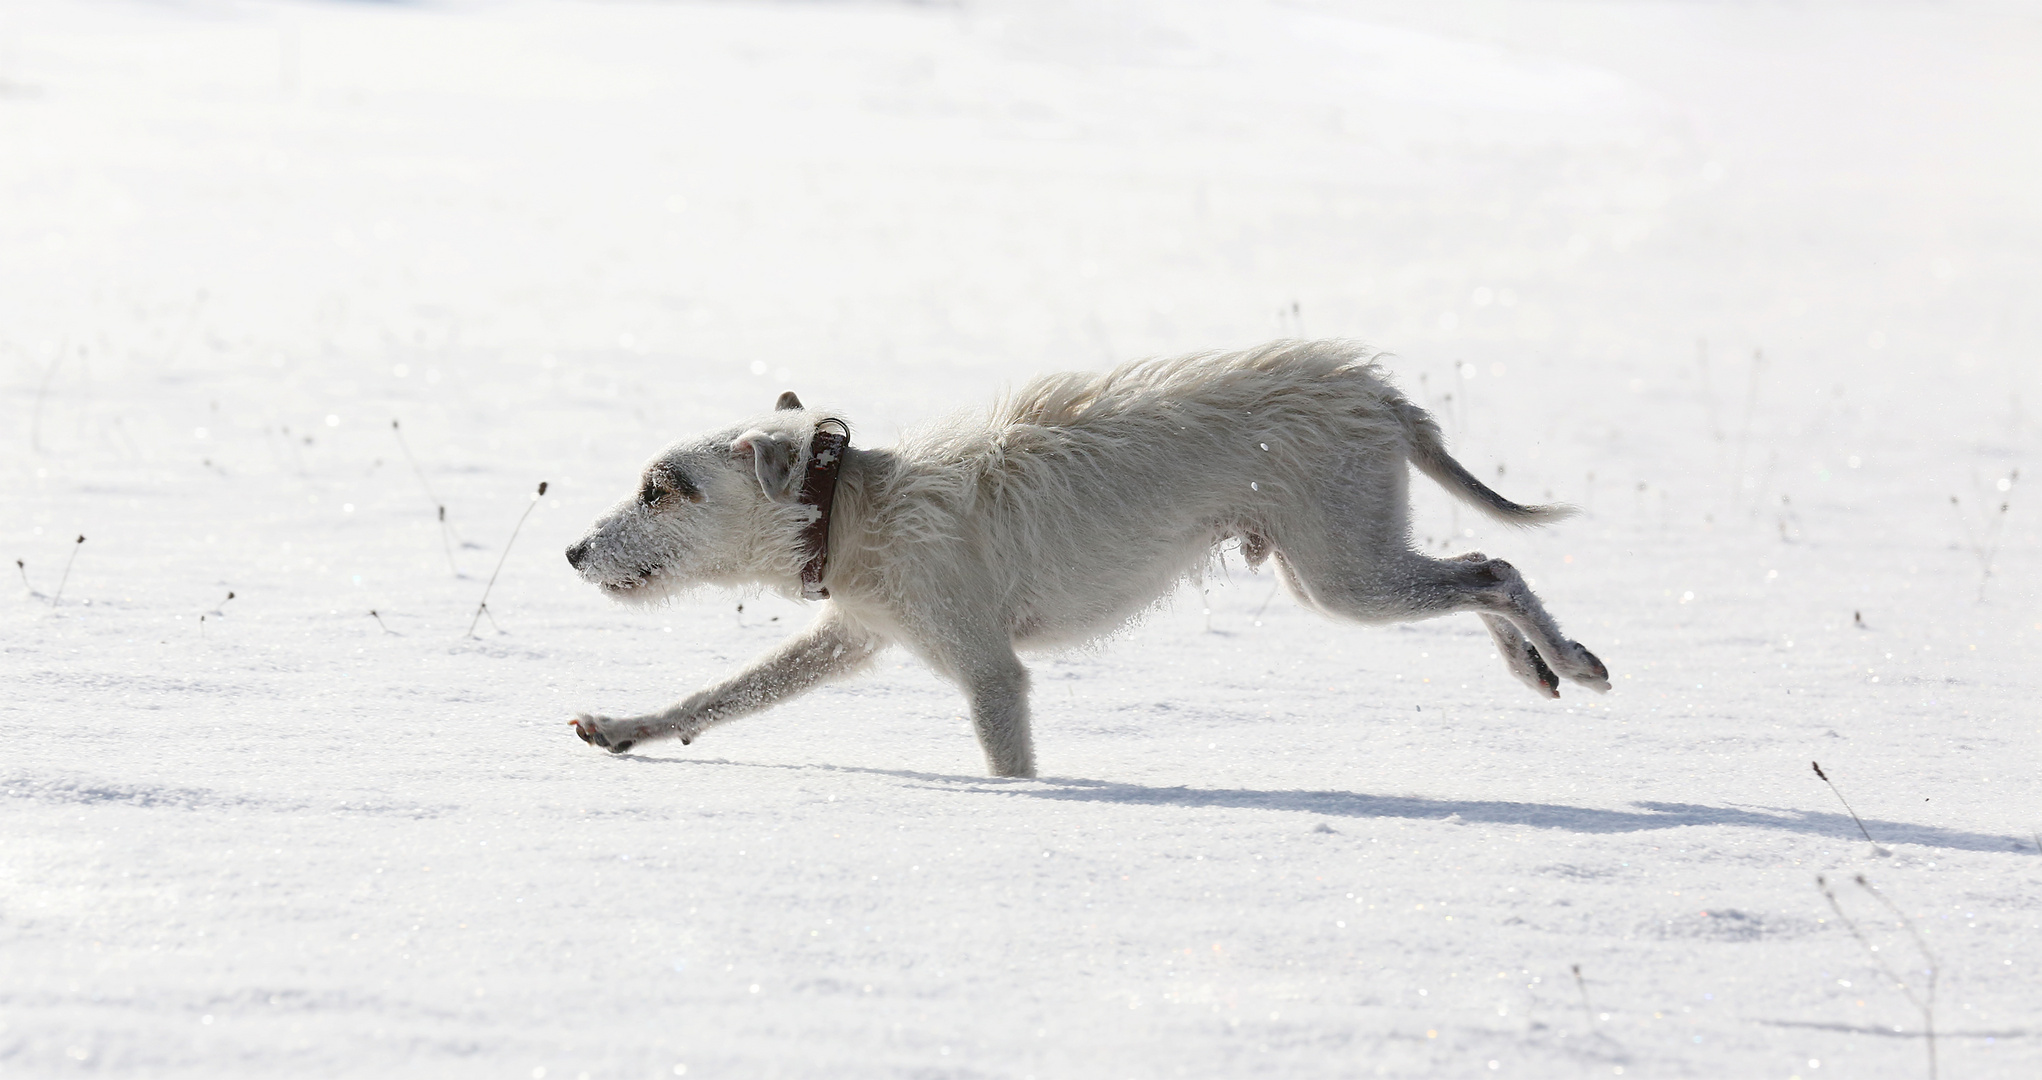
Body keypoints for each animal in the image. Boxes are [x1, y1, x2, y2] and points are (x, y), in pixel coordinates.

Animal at [567, 340, 1600, 771]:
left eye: (665, 488)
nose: (573, 550)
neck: (852, 508)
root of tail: (1381, 398)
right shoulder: (855, 633)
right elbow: (723, 694)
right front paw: (626, 728)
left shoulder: (990, 671)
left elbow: (1010, 759)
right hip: (1347, 564)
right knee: (1481, 573)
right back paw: (1534, 664)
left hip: (1345, 575)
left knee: (1493, 570)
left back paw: (1568, 657)